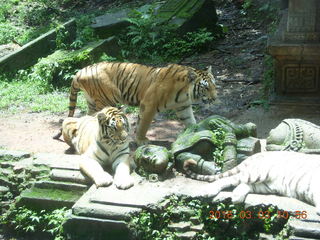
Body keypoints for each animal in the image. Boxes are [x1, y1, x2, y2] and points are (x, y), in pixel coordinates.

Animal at [54, 62, 218, 144]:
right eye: (206, 87)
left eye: (214, 85)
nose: (215, 98)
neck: (185, 93)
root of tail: (79, 72)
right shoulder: (149, 104)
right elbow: (143, 125)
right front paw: (141, 140)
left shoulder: (183, 107)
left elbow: (191, 121)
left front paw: (196, 132)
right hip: (106, 100)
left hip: (93, 103)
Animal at [185, 151, 320, 215]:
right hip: (260, 173)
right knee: (227, 179)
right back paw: (208, 191)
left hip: (271, 185)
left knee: (245, 185)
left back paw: (236, 197)